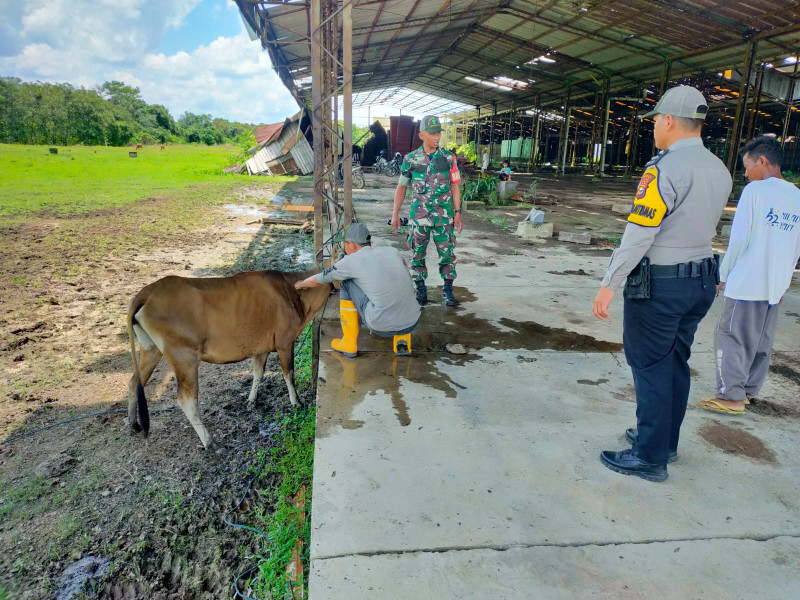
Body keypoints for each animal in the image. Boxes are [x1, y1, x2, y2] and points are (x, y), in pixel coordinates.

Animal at [127, 270, 332, 448]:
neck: (293, 292)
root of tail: (147, 292)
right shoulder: (285, 342)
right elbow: (289, 374)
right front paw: (296, 402)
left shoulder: (261, 346)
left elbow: (258, 373)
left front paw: (251, 401)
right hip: (184, 357)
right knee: (187, 400)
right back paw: (210, 442)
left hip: (150, 349)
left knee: (134, 382)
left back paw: (133, 424)